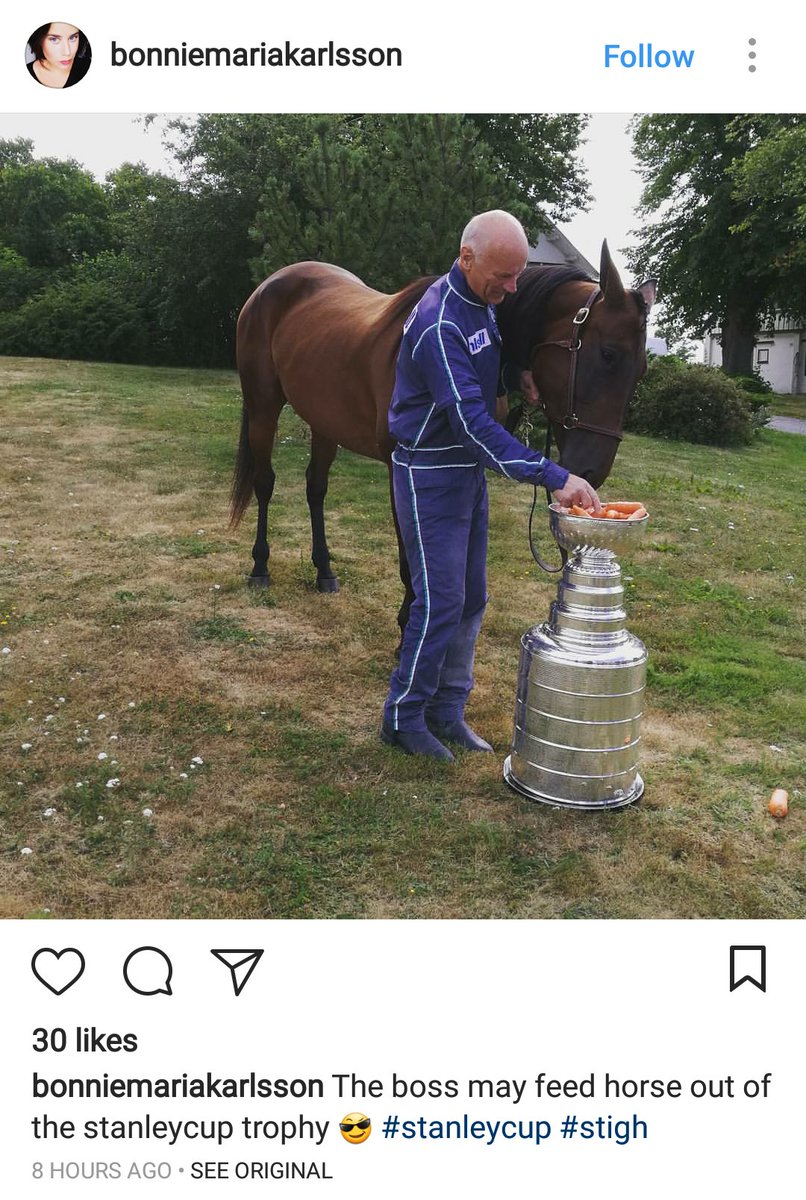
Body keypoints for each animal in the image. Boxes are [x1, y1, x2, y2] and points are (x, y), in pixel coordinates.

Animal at [230, 241, 656, 641]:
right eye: (608, 353)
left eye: (641, 370)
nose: (591, 471)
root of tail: (271, 284)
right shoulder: (403, 471)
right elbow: (412, 557)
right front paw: (408, 628)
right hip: (264, 407)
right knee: (265, 483)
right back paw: (260, 566)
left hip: (323, 423)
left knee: (315, 488)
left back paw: (324, 572)